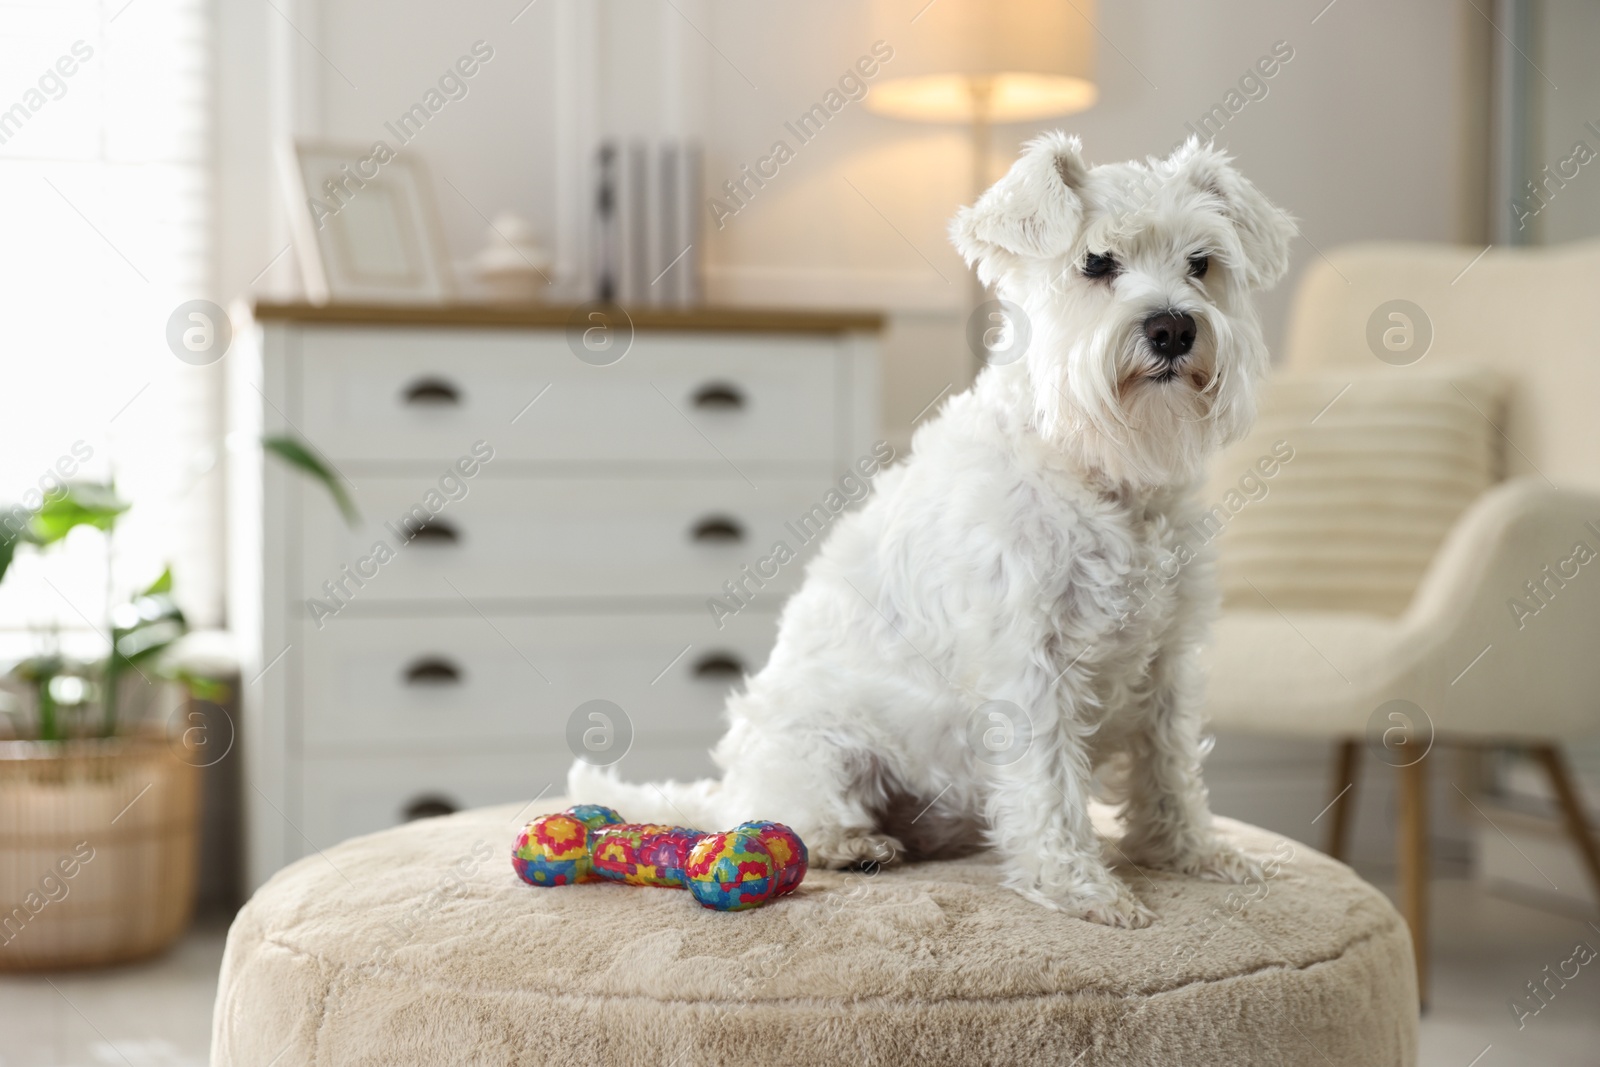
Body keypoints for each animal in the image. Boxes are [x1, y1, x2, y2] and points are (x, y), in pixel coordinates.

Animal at [569, 133, 1292, 927]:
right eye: (1096, 262)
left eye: (1202, 262)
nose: (1173, 327)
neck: (1098, 471)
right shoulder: (1031, 663)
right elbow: (1049, 784)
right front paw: (1079, 884)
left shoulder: (1168, 659)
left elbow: (1171, 769)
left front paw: (1193, 853)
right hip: (819, 746)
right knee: (789, 813)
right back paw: (850, 844)